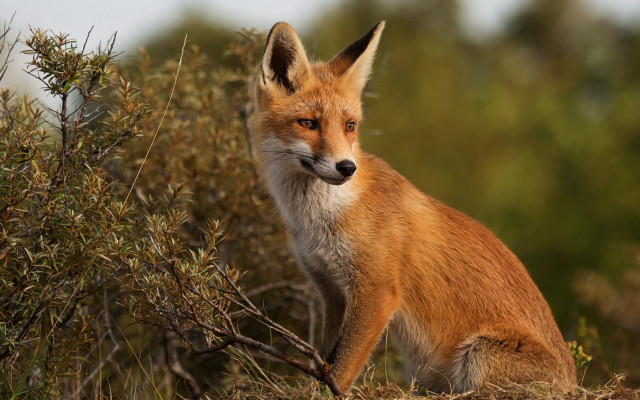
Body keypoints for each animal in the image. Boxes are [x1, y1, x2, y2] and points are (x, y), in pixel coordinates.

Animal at [250, 21, 577, 394]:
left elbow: (341, 369)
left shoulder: (376, 293)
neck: (320, 221)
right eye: (308, 123)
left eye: (350, 126)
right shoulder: (332, 291)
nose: (347, 167)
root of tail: (575, 382)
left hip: (478, 353)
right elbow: (324, 360)